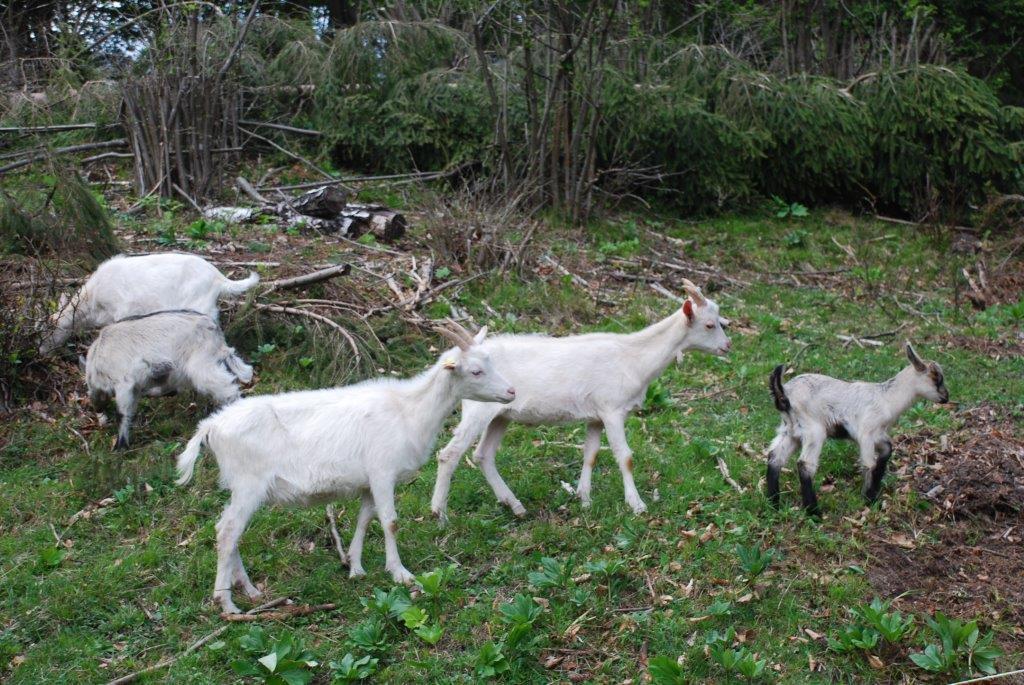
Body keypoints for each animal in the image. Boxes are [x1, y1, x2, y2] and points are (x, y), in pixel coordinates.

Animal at [40, 253, 258, 356]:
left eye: (48, 329)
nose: (39, 350)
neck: (93, 302)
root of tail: (218, 278)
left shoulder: (124, 310)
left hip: (200, 307)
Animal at [83, 309, 251, 448]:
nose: (98, 411)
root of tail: (213, 328)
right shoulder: (134, 388)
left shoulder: (124, 383)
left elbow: (122, 413)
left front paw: (121, 445)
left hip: (202, 367)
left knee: (227, 387)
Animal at [174, 321, 520, 614]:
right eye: (476, 371)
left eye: (490, 362)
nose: (512, 391)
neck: (408, 410)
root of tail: (211, 427)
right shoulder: (382, 472)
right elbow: (390, 522)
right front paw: (400, 573)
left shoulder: (368, 481)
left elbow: (365, 519)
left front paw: (355, 568)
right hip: (249, 483)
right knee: (228, 532)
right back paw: (227, 603)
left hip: (242, 487)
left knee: (227, 529)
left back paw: (251, 590)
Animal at [428, 278, 733, 518]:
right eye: (709, 325)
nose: (727, 346)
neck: (634, 357)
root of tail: (451, 358)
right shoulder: (612, 410)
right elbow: (624, 456)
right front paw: (636, 505)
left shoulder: (595, 416)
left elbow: (591, 455)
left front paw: (584, 499)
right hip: (478, 409)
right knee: (449, 454)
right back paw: (439, 514)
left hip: (501, 414)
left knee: (483, 455)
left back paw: (515, 506)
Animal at [765, 341, 946, 511]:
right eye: (936, 377)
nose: (946, 397)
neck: (886, 398)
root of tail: (784, 394)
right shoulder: (866, 433)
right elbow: (868, 464)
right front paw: (870, 500)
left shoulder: (878, 435)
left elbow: (887, 450)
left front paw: (874, 492)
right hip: (814, 430)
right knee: (805, 464)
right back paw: (814, 512)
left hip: (790, 431)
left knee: (775, 457)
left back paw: (774, 503)